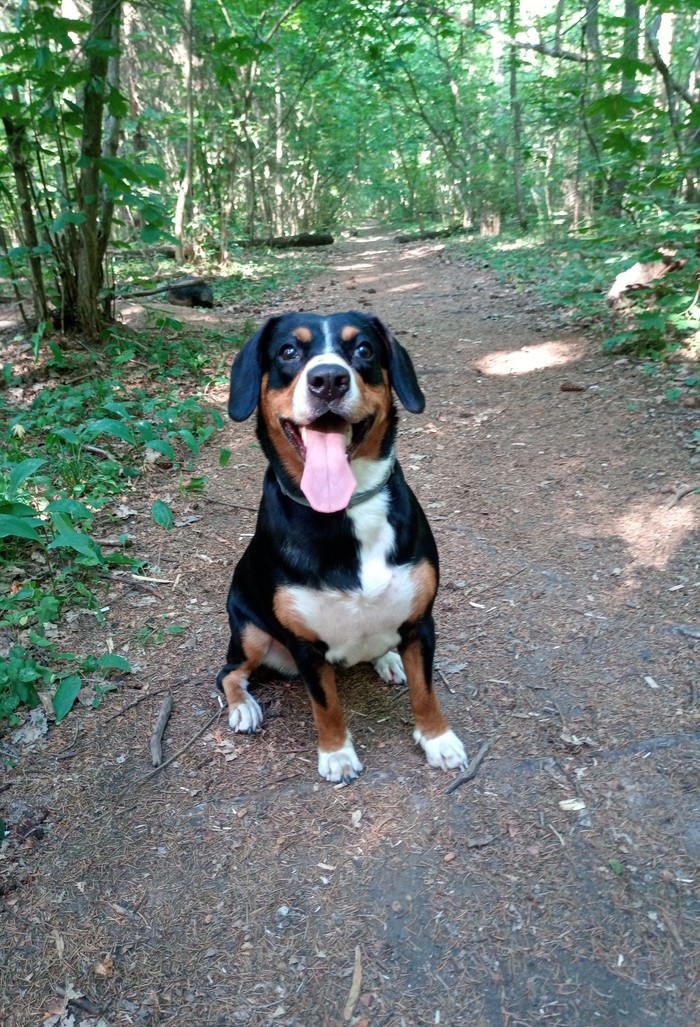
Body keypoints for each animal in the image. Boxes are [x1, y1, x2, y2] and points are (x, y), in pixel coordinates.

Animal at [216, 308, 468, 780]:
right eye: (288, 351)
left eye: (364, 349)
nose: (329, 379)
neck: (345, 511)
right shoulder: (305, 646)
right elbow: (327, 706)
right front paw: (336, 754)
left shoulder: (421, 623)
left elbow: (426, 691)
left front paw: (438, 740)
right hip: (250, 632)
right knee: (228, 672)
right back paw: (243, 708)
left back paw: (388, 659)